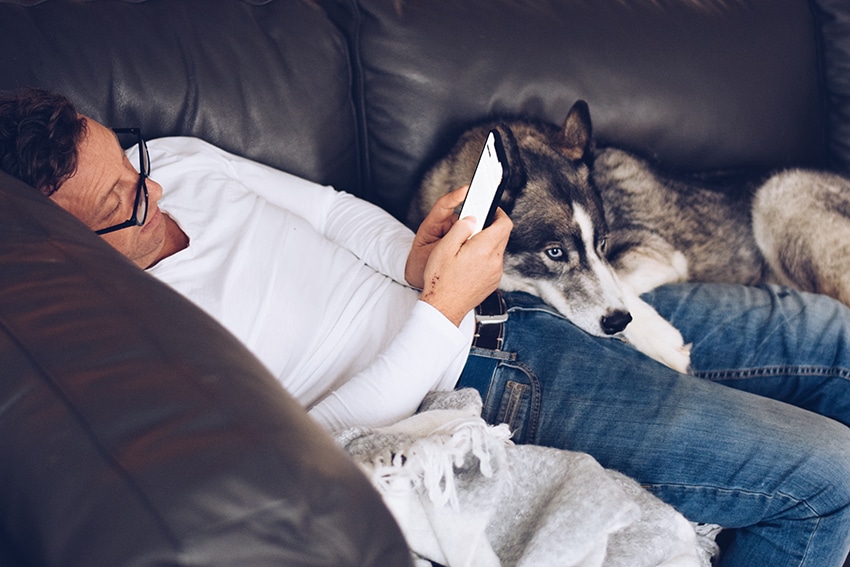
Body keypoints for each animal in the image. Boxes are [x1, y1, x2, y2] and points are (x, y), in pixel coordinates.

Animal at [410, 100, 848, 374]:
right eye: (554, 253)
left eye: (602, 243)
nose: (619, 321)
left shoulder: (659, 253)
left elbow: (616, 276)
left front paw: (654, 335)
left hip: (779, 195)